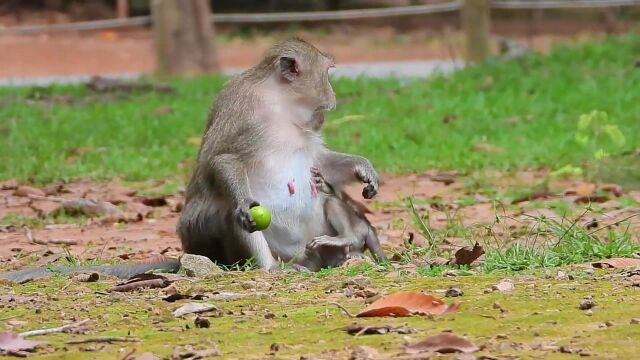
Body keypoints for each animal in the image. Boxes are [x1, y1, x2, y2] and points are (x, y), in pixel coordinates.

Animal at [176, 38, 380, 270]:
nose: (333, 96)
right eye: (327, 73)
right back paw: (272, 267)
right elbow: (223, 157)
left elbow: (320, 161)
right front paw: (243, 201)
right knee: (230, 210)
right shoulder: (247, 114)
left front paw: (363, 167)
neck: (280, 104)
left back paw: (347, 251)